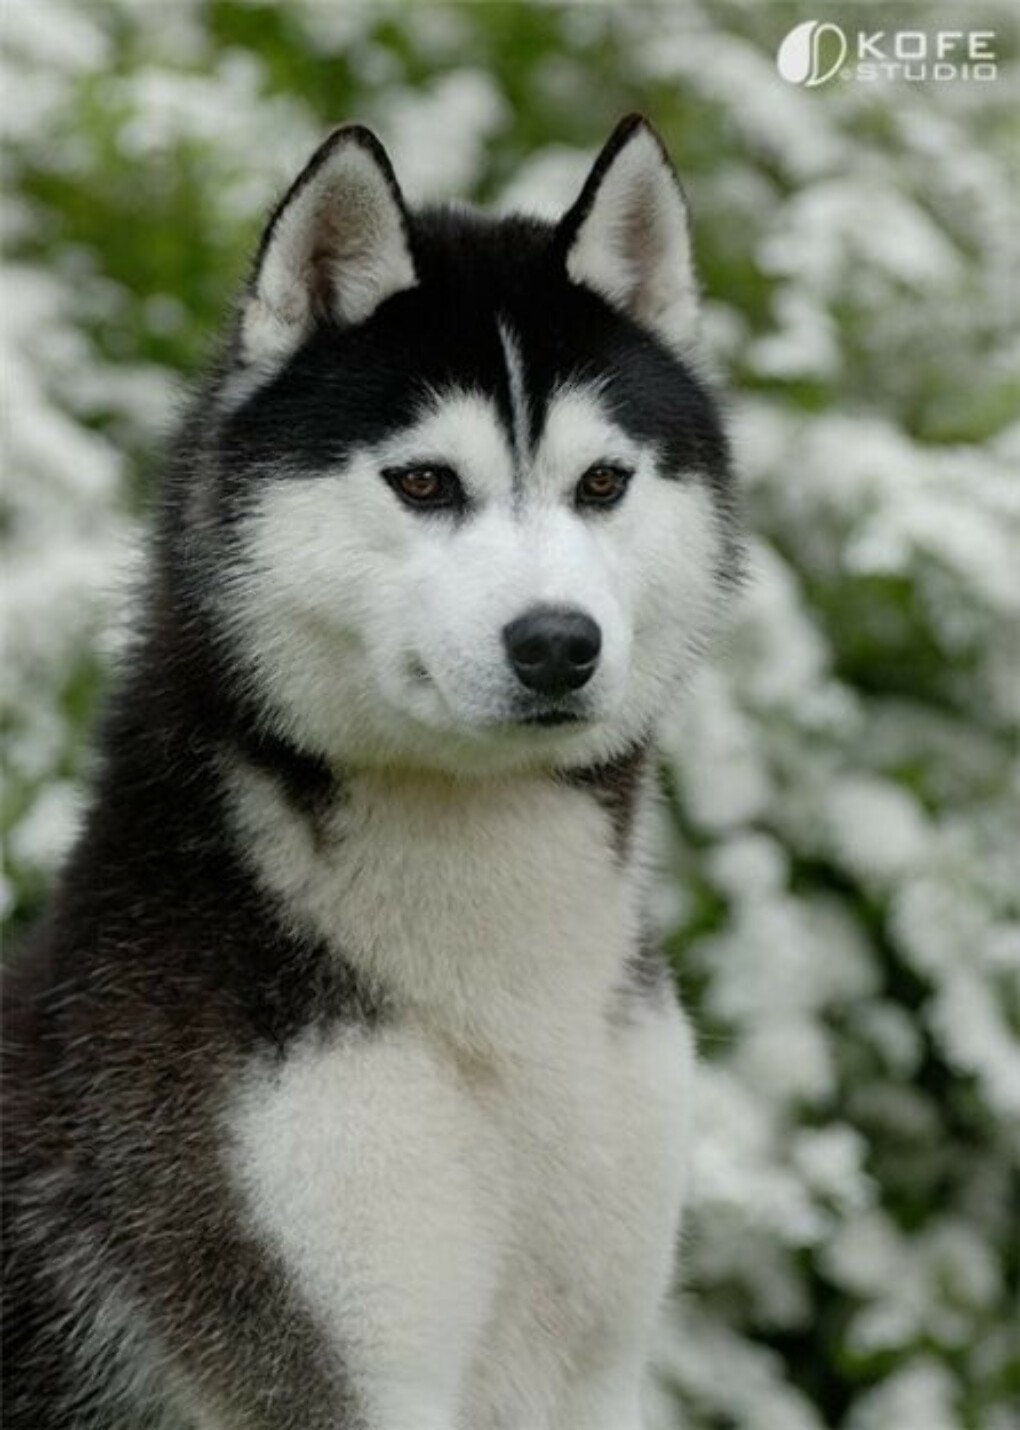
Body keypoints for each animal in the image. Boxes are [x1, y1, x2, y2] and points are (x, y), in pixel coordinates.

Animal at [0, 114, 738, 1430]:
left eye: (604, 483)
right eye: (425, 481)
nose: (558, 642)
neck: (503, 1000)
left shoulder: (597, 1363)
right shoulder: (334, 1355)